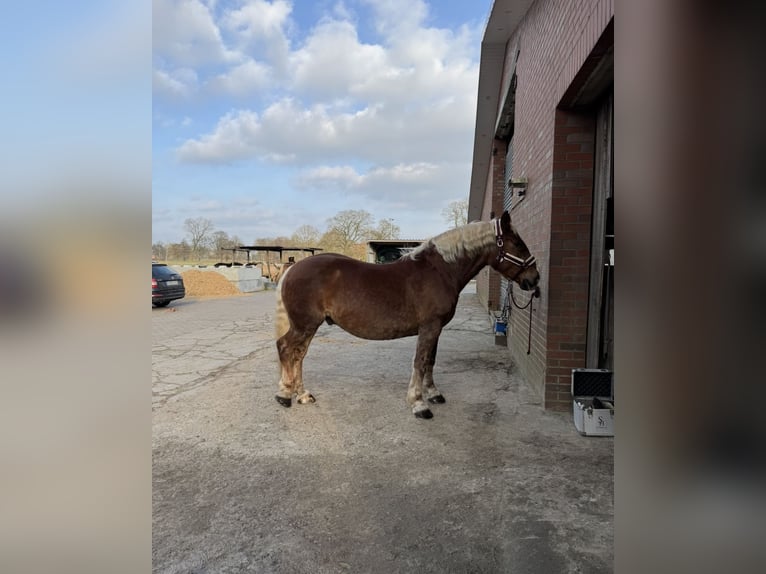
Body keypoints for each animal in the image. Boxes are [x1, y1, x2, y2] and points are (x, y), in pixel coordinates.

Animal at [274, 211, 540, 419]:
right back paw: (284, 395)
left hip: (309, 326)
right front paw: (419, 404)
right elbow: (420, 362)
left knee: (298, 354)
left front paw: (433, 394)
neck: (440, 271)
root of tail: (293, 268)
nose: (534, 279)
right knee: (286, 348)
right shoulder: (429, 327)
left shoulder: (436, 329)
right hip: (305, 324)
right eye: (518, 244)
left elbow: (430, 360)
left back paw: (302, 395)